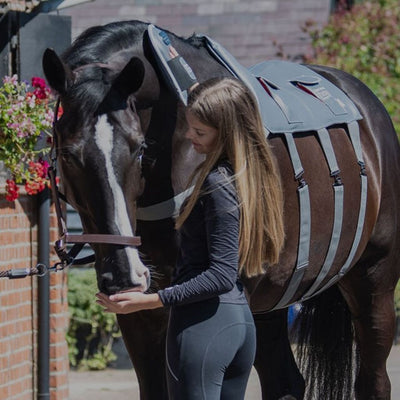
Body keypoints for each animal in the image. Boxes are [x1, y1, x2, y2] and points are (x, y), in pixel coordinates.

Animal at [41, 20, 400, 398]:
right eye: (68, 154)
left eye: (139, 149)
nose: (125, 274)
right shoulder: (139, 316)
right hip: (270, 299)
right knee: (284, 379)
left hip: (373, 280)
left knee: (373, 379)